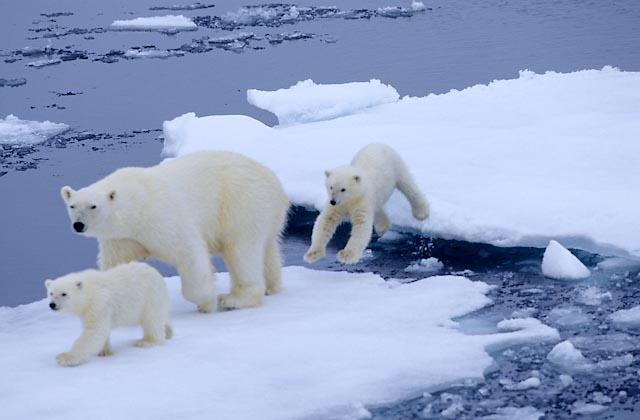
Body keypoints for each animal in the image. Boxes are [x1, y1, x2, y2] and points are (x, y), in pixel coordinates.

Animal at [61, 151, 288, 312]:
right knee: (268, 248)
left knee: (241, 251)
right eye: (72, 205)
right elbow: (117, 264)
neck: (136, 204)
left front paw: (206, 301)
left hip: (241, 203)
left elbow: (189, 251)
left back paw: (235, 299)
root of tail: (274, 182)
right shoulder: (121, 237)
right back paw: (272, 286)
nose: (78, 225)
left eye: (93, 206)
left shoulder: (161, 217)